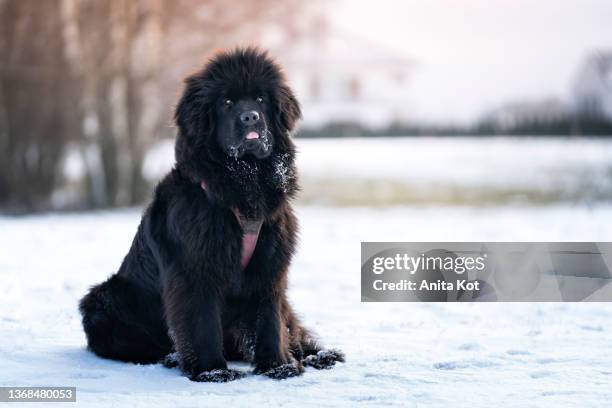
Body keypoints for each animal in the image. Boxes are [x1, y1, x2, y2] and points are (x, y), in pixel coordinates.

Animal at [77, 47, 344, 382]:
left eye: (260, 99)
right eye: (226, 102)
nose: (250, 117)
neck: (243, 187)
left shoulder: (270, 265)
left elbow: (270, 320)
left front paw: (279, 366)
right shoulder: (195, 269)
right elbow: (200, 322)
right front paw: (212, 371)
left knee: (291, 327)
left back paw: (319, 355)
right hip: (104, 302)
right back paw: (172, 358)